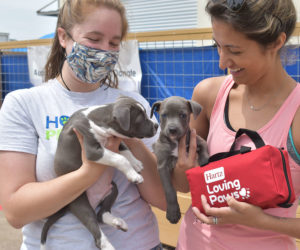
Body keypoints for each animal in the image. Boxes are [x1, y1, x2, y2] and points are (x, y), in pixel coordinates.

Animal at [41, 96, 159, 250]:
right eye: (141, 118)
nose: (157, 126)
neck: (100, 119)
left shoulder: (114, 140)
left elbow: (124, 148)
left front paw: (135, 163)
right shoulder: (93, 150)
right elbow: (120, 158)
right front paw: (134, 175)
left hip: (113, 189)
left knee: (101, 214)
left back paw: (117, 222)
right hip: (80, 203)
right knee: (95, 229)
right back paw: (108, 245)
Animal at [151, 96, 207, 224]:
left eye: (183, 115)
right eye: (164, 115)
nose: (172, 129)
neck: (176, 142)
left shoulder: (200, 140)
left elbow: (205, 151)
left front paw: (205, 162)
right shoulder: (162, 165)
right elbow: (169, 190)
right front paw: (173, 213)